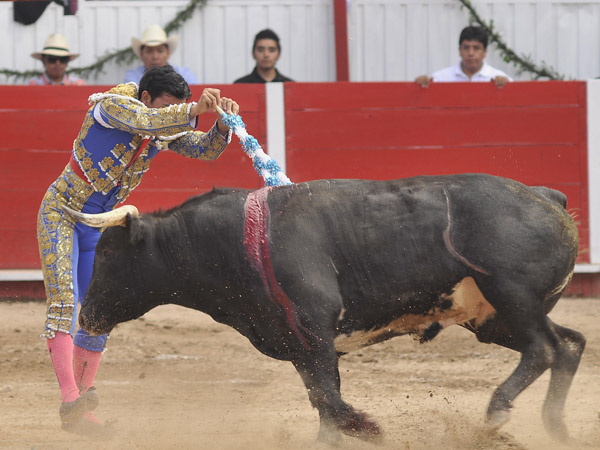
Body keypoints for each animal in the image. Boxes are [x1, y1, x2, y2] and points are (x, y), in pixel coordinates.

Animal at [71, 173, 584, 442]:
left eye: (108, 256)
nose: (86, 316)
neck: (234, 240)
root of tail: (547, 195)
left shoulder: (313, 329)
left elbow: (328, 400)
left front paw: (371, 428)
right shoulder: (302, 345)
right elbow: (323, 402)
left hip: (512, 296)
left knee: (545, 348)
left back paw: (497, 414)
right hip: (493, 318)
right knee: (570, 344)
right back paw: (556, 428)